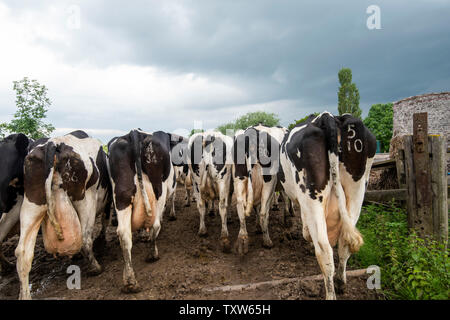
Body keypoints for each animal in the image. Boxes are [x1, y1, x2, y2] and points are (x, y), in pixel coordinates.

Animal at [16, 130, 111, 300]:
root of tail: (53, 143)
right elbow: (105, 221)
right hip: (86, 199)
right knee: (85, 238)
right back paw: (95, 267)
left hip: (32, 204)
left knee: (22, 252)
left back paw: (25, 295)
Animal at [107, 129, 174, 292]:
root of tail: (134, 133)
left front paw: (142, 234)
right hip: (159, 190)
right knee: (156, 225)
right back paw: (152, 254)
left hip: (121, 195)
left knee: (124, 234)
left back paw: (130, 281)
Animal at [232, 124, 284, 254]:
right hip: (269, 182)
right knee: (263, 213)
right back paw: (267, 242)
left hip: (239, 178)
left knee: (241, 207)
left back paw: (243, 239)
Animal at [280, 112, 378, 300]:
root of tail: (328, 117)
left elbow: (307, 231)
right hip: (357, 190)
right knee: (344, 244)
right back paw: (341, 282)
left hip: (311, 195)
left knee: (324, 250)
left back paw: (330, 292)